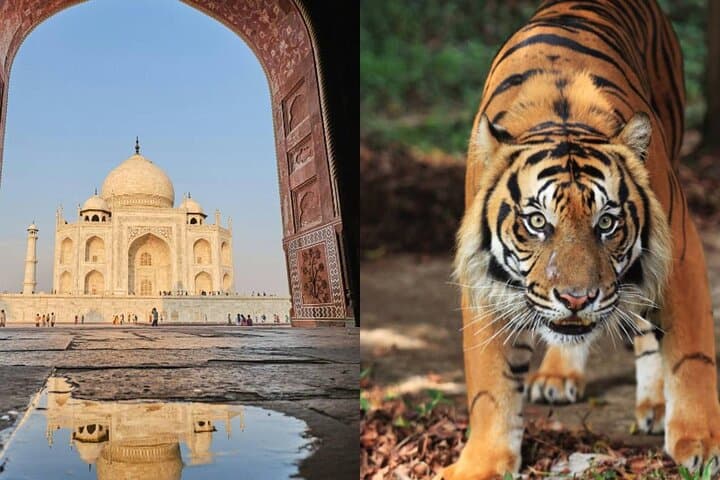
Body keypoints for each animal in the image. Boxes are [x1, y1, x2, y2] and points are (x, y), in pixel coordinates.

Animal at [436, 1, 720, 478]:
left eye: (606, 223)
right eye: (536, 221)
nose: (577, 299)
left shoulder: (679, 254)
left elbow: (691, 357)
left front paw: (699, 443)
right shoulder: (483, 278)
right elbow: (489, 383)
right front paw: (483, 462)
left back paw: (656, 405)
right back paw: (558, 375)